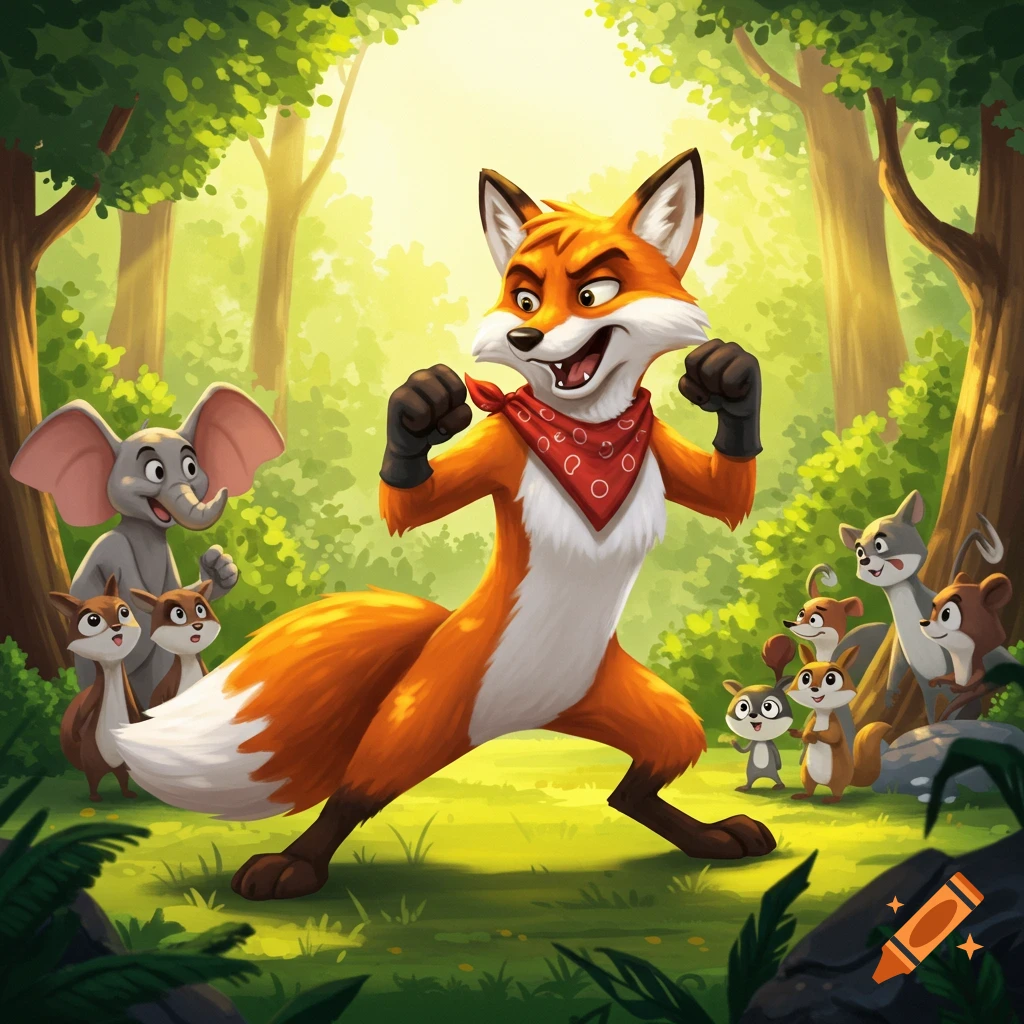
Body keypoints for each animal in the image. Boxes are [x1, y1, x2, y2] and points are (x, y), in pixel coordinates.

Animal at [115, 149, 771, 902]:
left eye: (594, 293)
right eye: (523, 299)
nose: (524, 336)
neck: (592, 436)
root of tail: (529, 716)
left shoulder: (656, 445)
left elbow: (726, 493)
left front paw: (730, 383)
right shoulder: (503, 448)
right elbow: (413, 502)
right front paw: (420, 410)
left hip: (641, 709)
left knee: (630, 791)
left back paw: (711, 838)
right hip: (422, 715)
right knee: (352, 792)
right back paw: (295, 865)